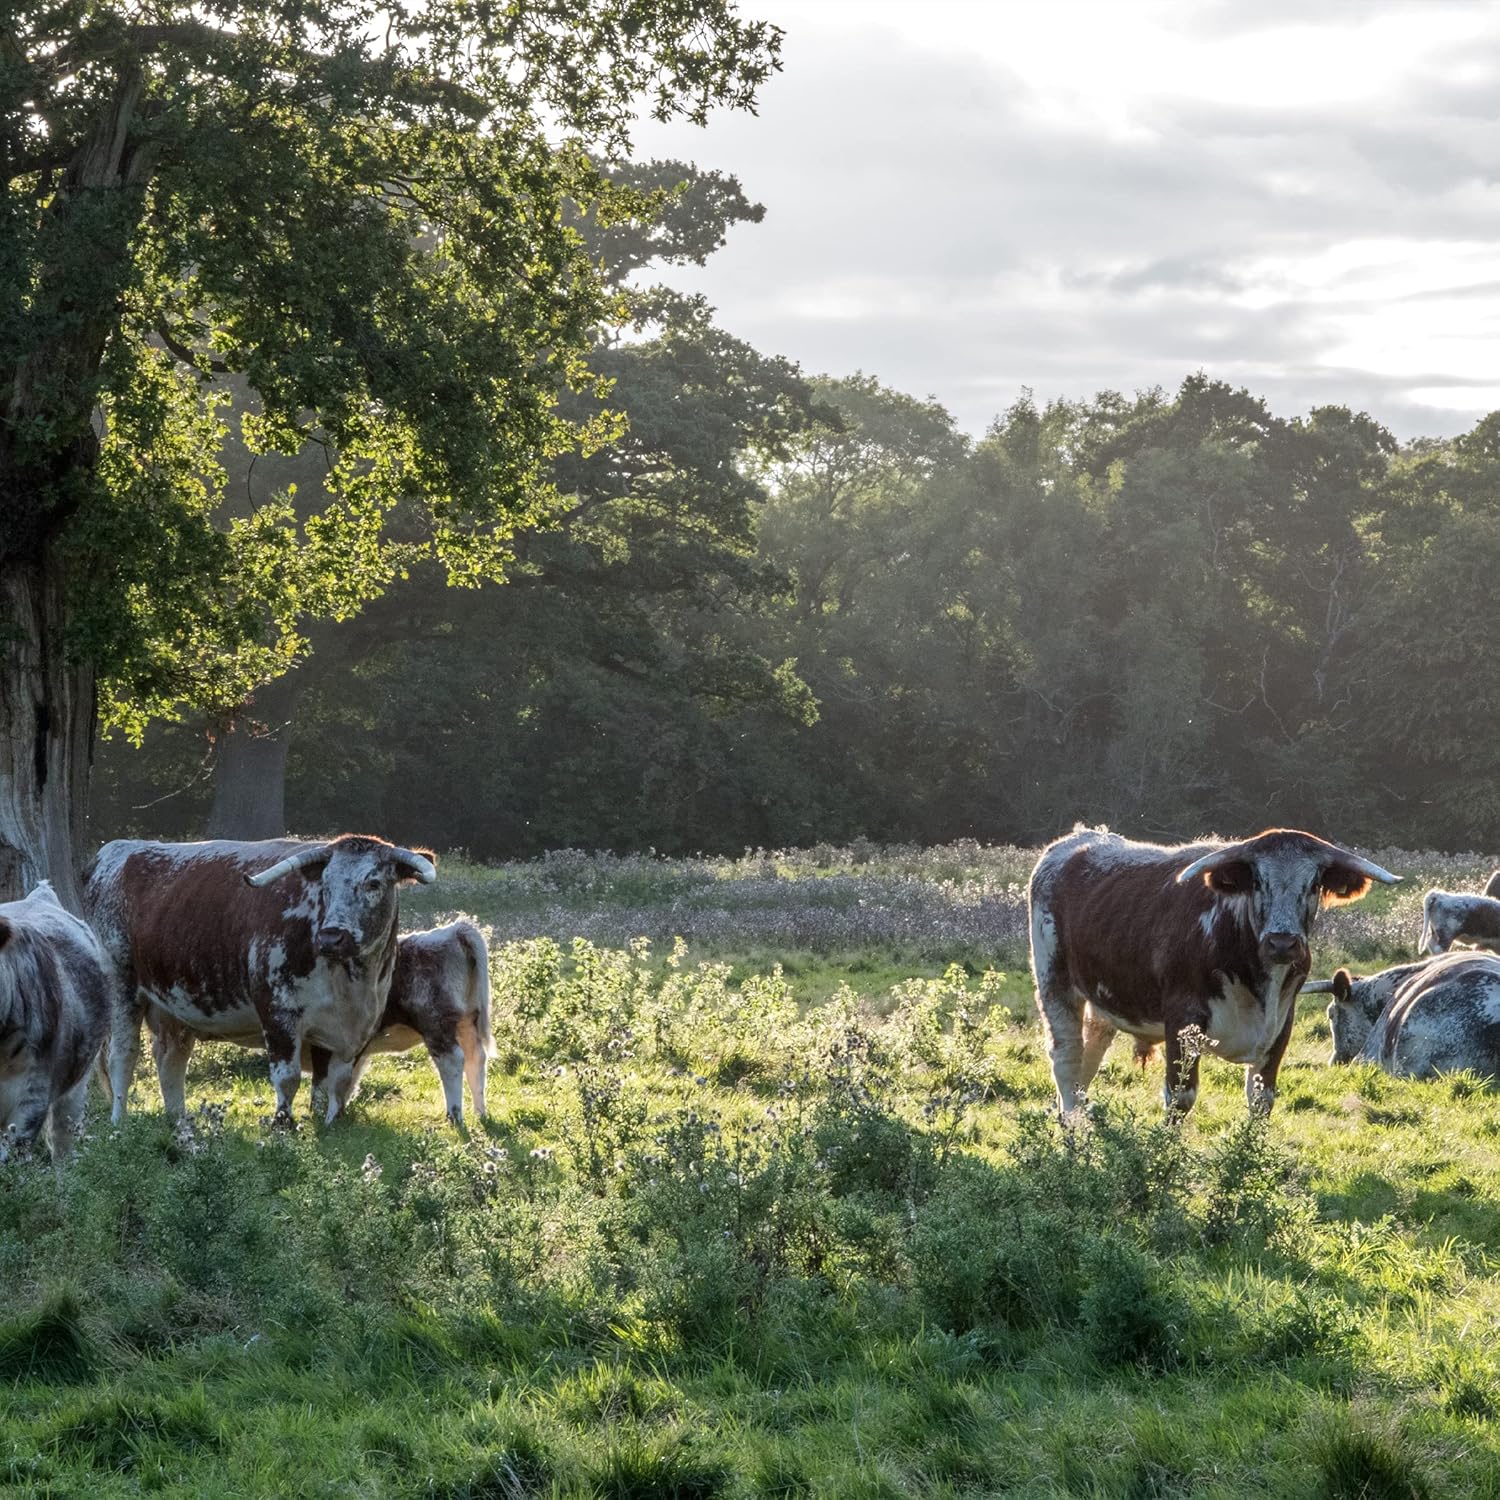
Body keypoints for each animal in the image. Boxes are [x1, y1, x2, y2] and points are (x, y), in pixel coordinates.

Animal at [87, 834, 432, 1128]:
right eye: (326, 884)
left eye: (373, 882)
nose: (332, 937)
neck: (353, 981)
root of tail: (114, 851)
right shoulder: (277, 1011)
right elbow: (288, 1077)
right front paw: (282, 1125)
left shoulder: (348, 1029)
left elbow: (334, 1084)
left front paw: (329, 1124)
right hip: (121, 986)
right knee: (123, 1055)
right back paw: (120, 1122)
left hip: (175, 1005)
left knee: (171, 1060)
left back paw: (180, 1122)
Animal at [307, 912, 495, 1128]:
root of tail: (452, 931)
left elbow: (324, 1081)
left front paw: (324, 1119)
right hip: (466, 1021)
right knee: (476, 1057)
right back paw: (480, 1113)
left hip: (436, 1023)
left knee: (452, 1060)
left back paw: (454, 1116)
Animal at [1026, 828, 1398, 1122]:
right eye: (1257, 882)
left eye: (1313, 884)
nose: (1282, 942)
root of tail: (1077, 840)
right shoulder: (1182, 1021)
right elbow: (1180, 1098)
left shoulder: (1282, 1024)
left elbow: (1262, 1100)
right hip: (1055, 986)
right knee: (1066, 1061)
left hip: (1103, 1001)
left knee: (1085, 1066)